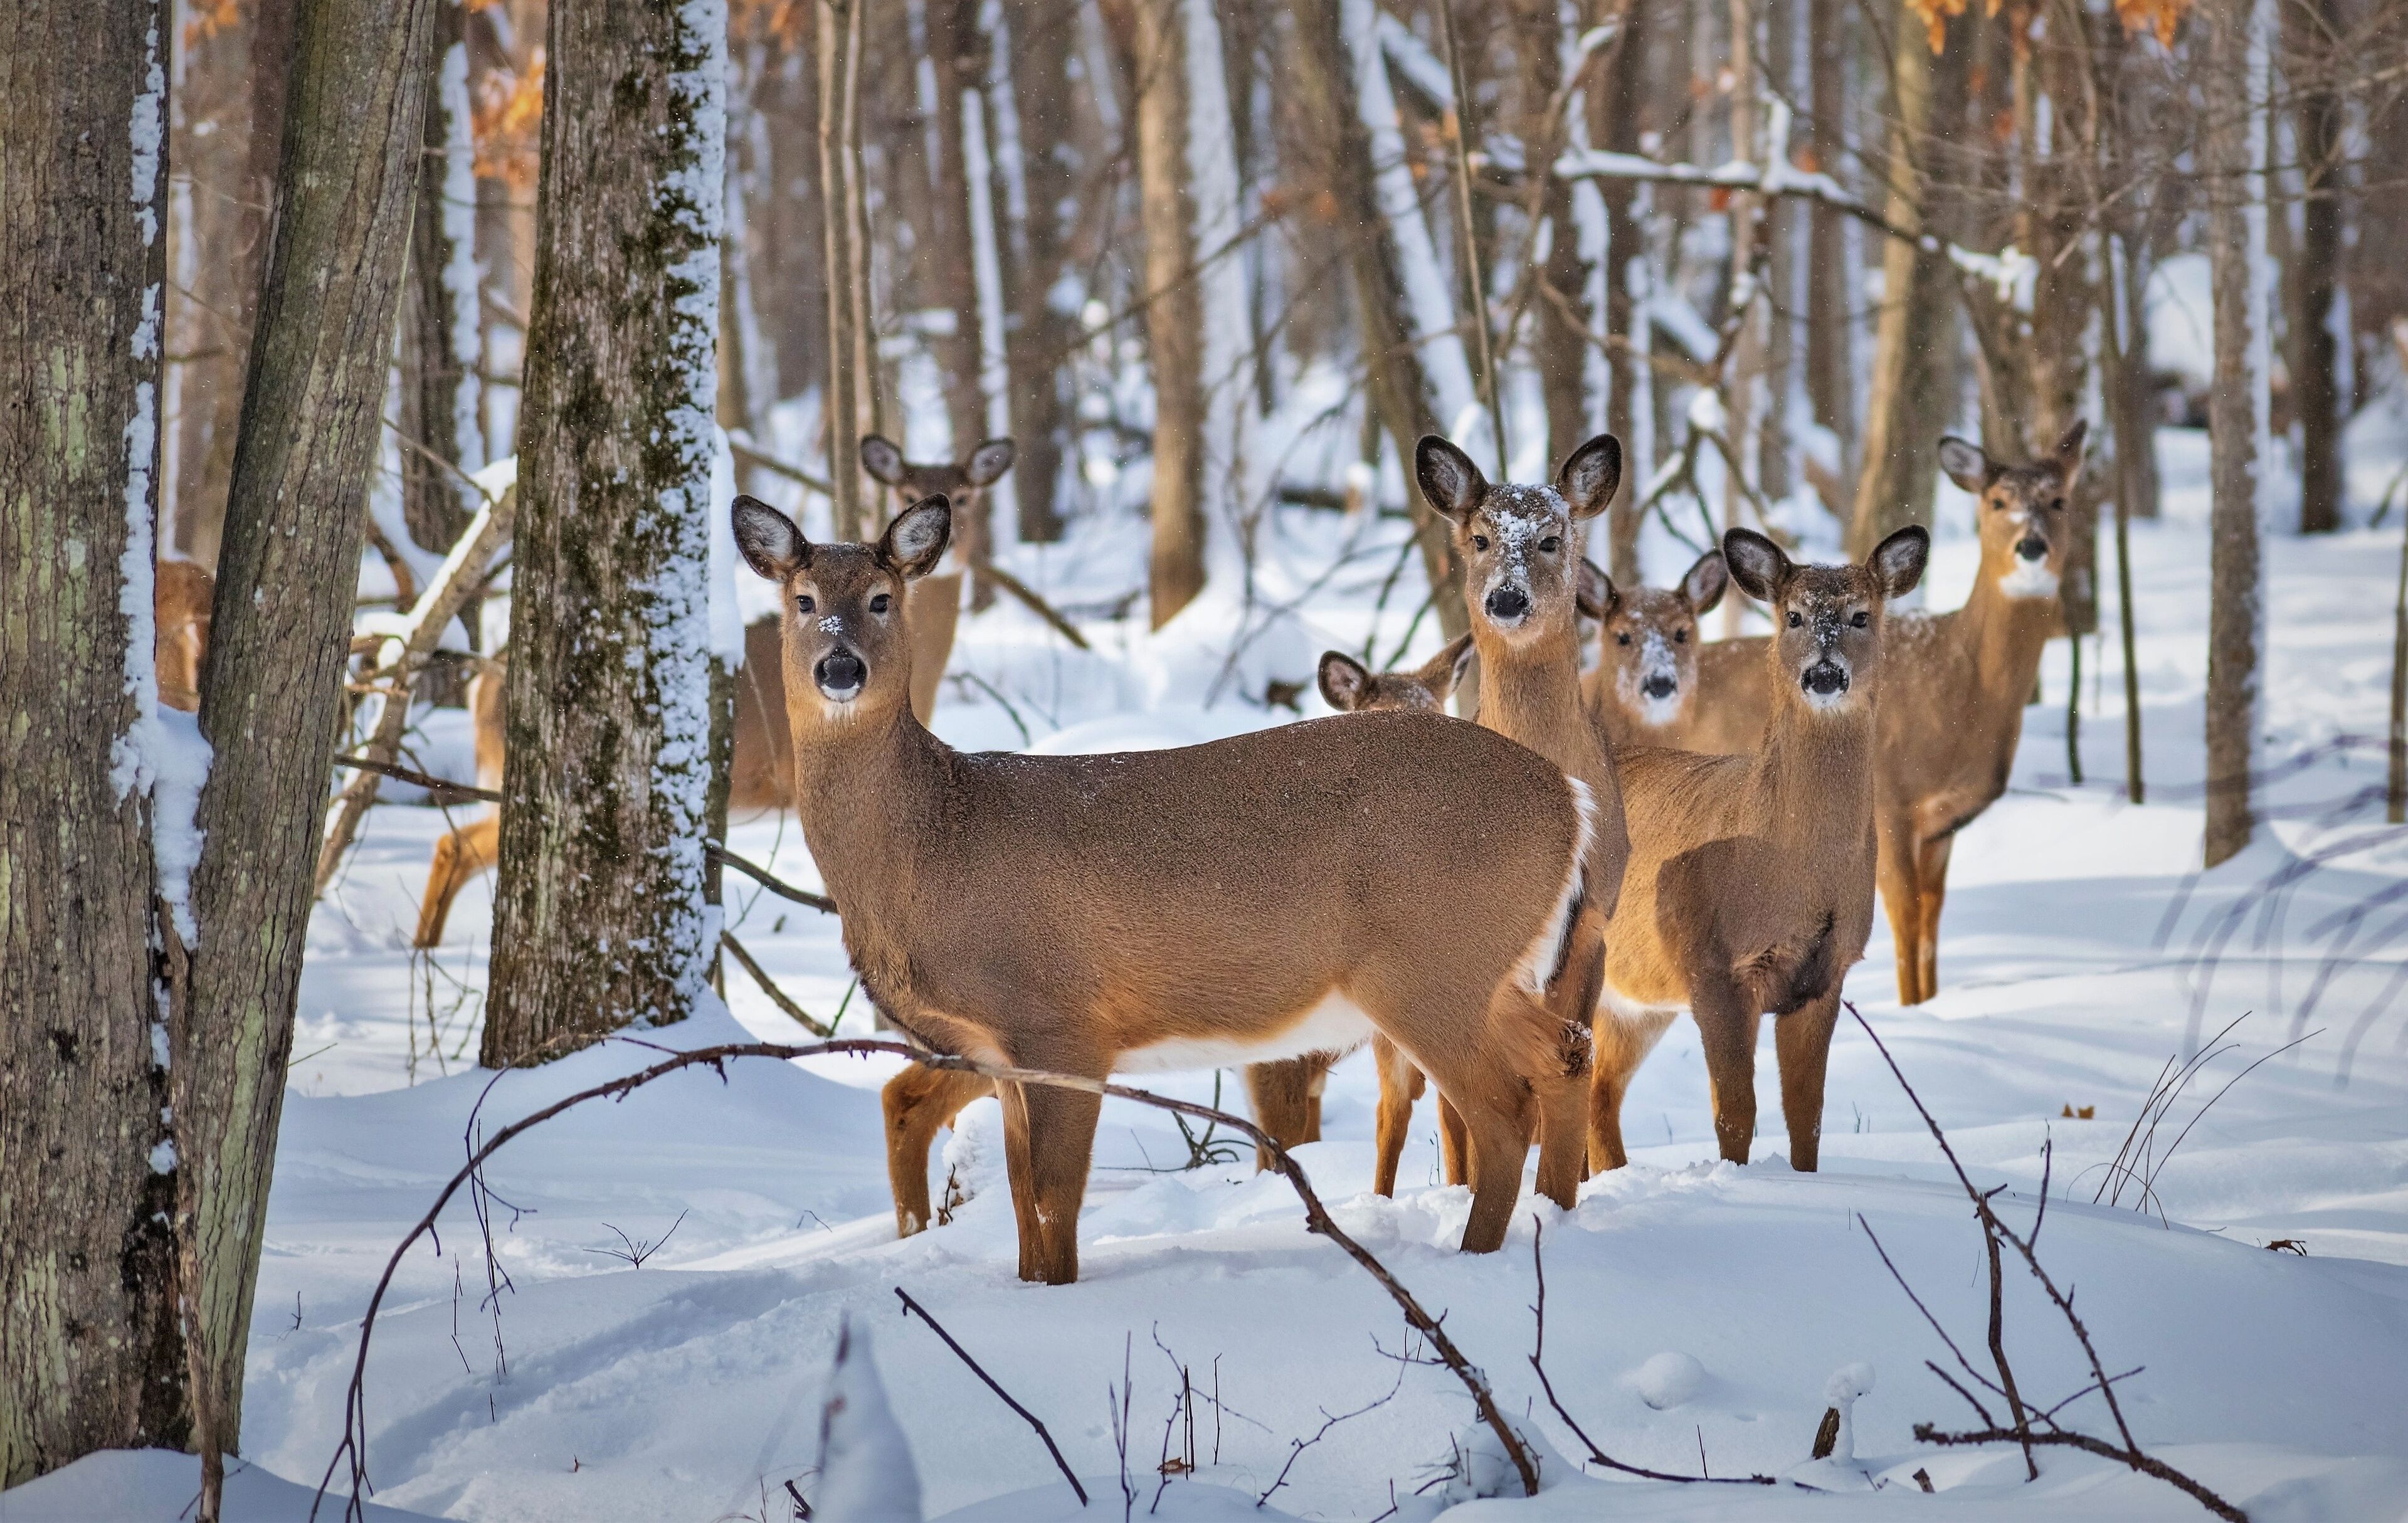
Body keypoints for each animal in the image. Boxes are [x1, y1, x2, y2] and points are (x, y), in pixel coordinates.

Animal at [732, 490, 1605, 1283]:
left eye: (882, 597)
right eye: (803, 599)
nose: (839, 666)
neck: (934, 843)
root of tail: (1571, 799)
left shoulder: (1060, 1023)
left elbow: (1051, 1197)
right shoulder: (999, 1050)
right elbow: (1018, 1200)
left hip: (1430, 968)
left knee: (1503, 1110)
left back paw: (1474, 1261)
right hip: (1490, 975)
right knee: (1567, 1054)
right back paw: (1554, 1218)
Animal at [1877, 421, 2084, 1005]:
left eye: (2059, 500)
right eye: (1997, 501)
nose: (2031, 545)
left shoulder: (1942, 824)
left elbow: (1930, 920)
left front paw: (1930, 1005)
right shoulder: (1889, 797)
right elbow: (1904, 919)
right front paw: (1909, 1010)